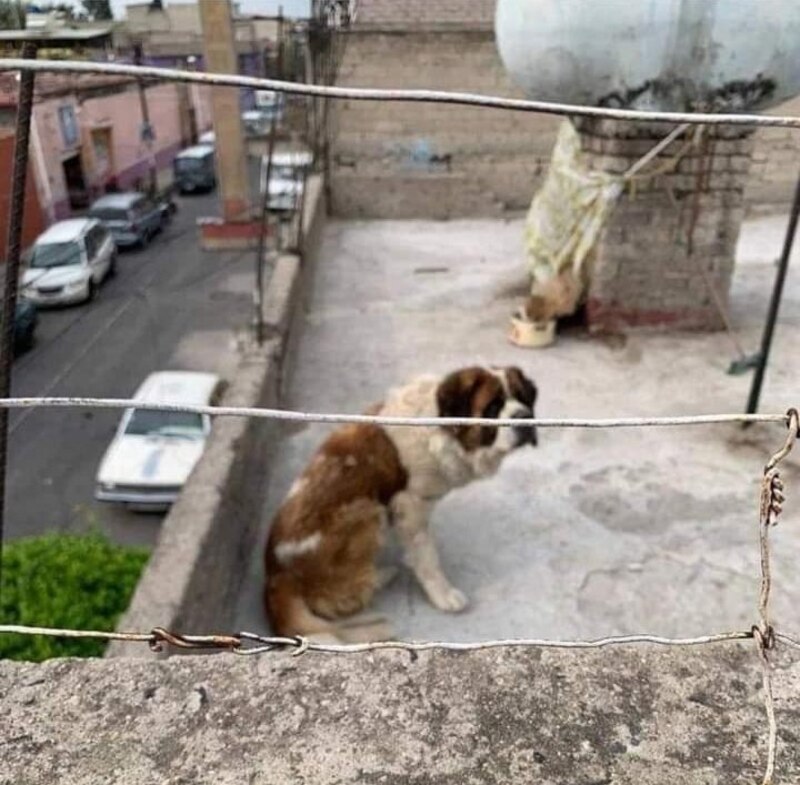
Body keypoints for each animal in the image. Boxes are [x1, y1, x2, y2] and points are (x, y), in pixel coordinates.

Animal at [262, 364, 536, 640]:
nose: (524, 417)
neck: (439, 426)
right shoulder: (410, 504)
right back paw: (380, 576)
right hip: (369, 511)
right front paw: (443, 594)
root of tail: (277, 575)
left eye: (524, 398)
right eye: (493, 407)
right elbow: (427, 555)